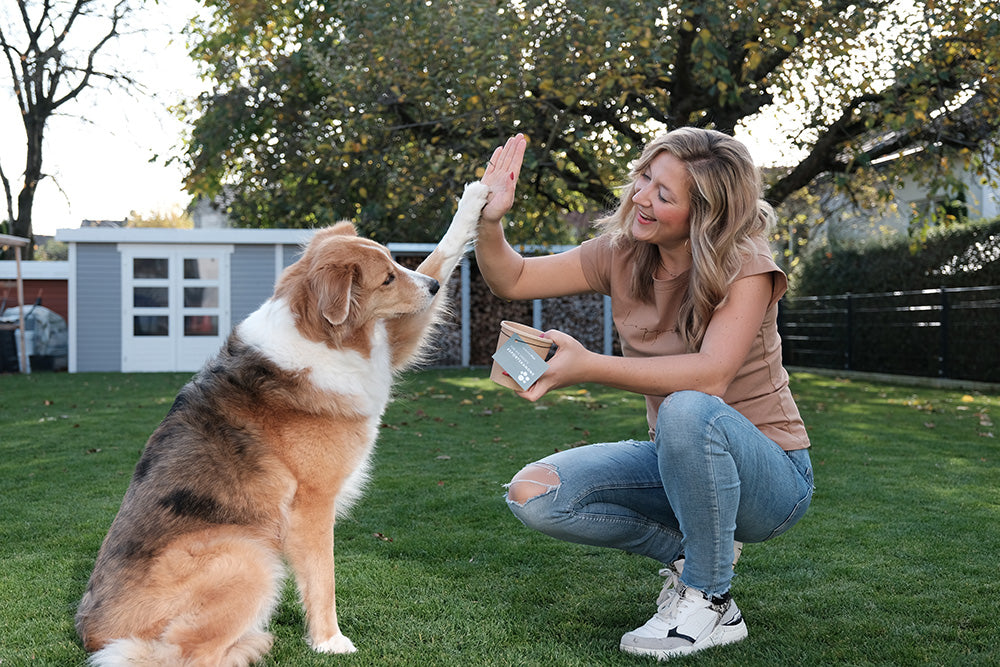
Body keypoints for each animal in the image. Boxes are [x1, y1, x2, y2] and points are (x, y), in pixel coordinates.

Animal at [74, 183, 488, 667]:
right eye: (386, 277)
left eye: (395, 262)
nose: (434, 289)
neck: (318, 335)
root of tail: (94, 632)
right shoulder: (312, 505)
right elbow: (323, 580)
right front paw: (329, 640)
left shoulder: (389, 344)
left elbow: (443, 251)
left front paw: (478, 195)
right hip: (249, 555)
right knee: (186, 654)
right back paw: (251, 644)